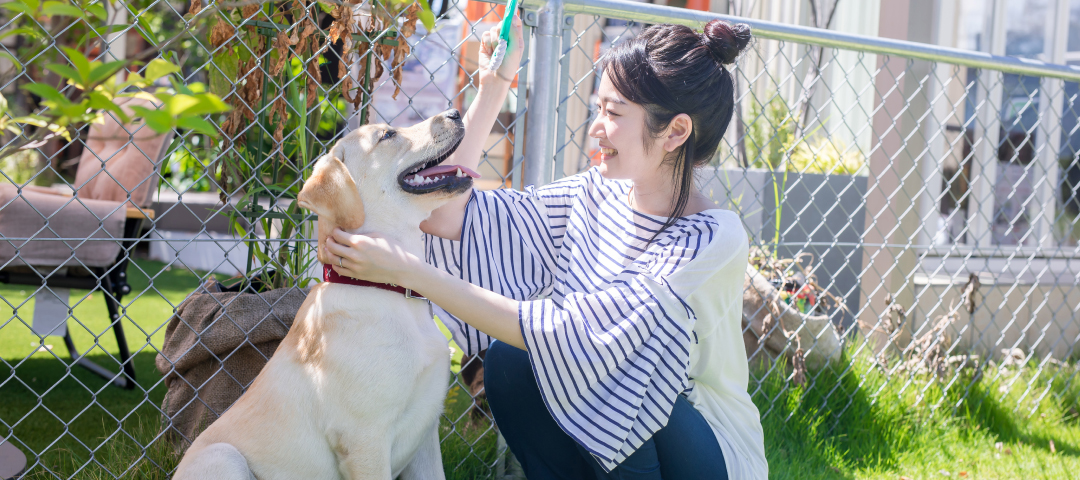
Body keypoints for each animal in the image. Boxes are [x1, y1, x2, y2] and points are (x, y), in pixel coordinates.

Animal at [173, 109, 474, 479]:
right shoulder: (364, 440)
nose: (455, 112)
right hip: (224, 456)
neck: (382, 286)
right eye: (387, 135)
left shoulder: (427, 435)